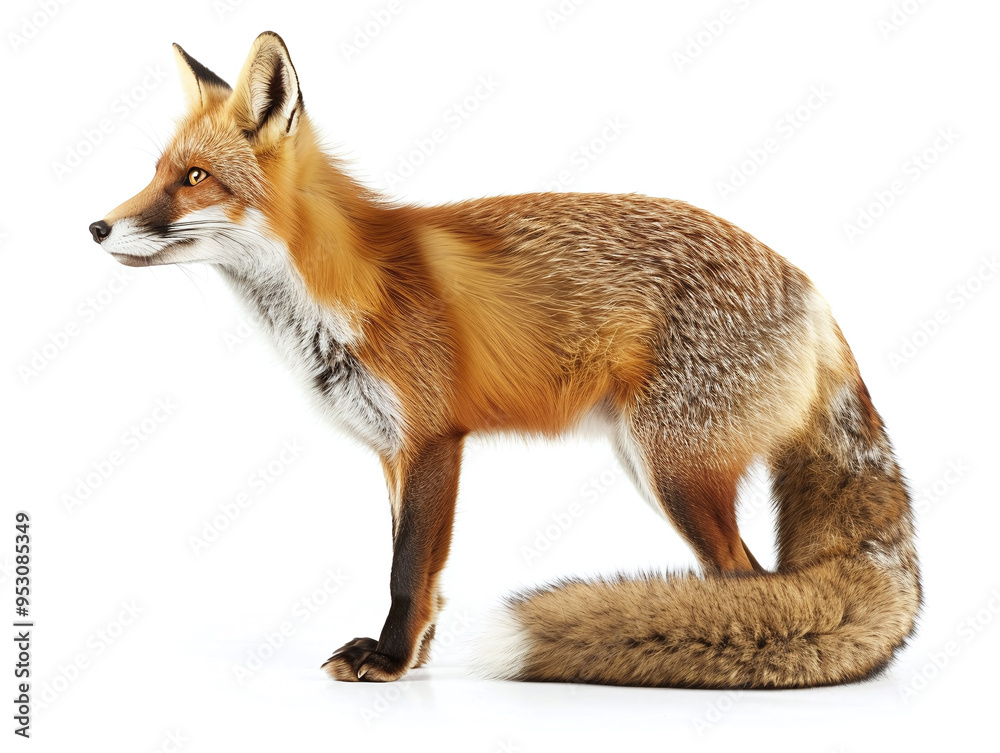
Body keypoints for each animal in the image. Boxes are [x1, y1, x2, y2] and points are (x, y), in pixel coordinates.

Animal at [89, 32, 920, 688]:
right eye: (157, 171)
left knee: (749, 581)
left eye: (194, 178)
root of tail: (810, 288)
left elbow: (405, 569)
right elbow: (425, 573)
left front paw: (388, 662)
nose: (96, 226)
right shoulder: (392, 449)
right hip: (651, 461)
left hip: (675, 469)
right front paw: (414, 659)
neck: (340, 287)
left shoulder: (432, 439)